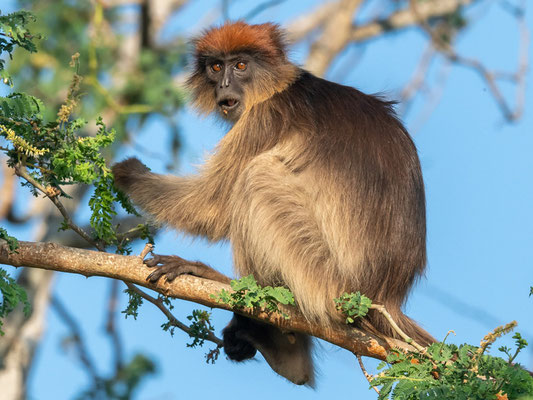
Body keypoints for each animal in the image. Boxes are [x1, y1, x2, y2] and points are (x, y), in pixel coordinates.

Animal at [112, 21, 432, 384]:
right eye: (216, 67)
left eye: (240, 65)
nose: (224, 84)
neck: (280, 88)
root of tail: (384, 296)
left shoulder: (265, 117)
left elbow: (211, 208)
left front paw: (127, 174)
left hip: (325, 280)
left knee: (257, 176)